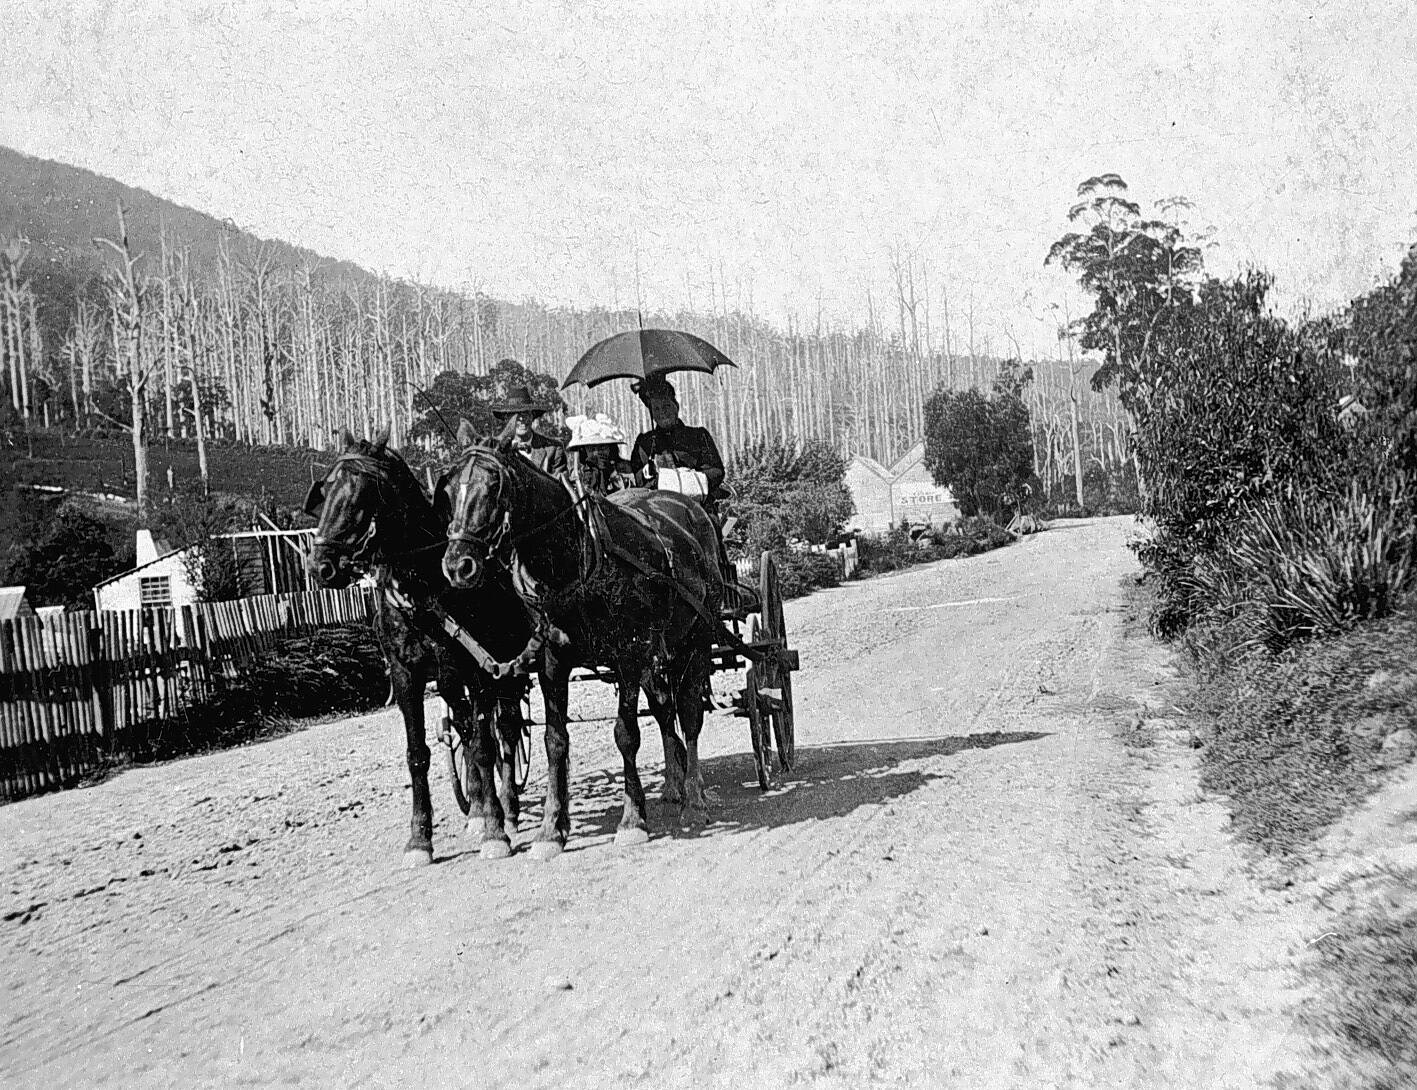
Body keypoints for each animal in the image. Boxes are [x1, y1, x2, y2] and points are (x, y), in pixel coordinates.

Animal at [304, 427, 536, 865]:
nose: (320, 567)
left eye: (363, 491)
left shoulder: (474, 670)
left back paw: (508, 808)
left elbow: (484, 745)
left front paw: (496, 831)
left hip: (504, 669)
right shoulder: (407, 675)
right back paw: (478, 806)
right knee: (471, 730)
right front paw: (420, 838)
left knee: (506, 730)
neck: (423, 585)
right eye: (325, 490)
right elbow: (420, 754)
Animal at [437, 433, 724, 859]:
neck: (574, 559)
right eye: (450, 488)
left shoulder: (628, 654)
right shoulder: (553, 661)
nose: (458, 565)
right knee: (663, 709)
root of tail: (689, 508)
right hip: (660, 651)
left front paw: (632, 820)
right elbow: (554, 741)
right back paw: (674, 785)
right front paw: (550, 830)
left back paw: (693, 797)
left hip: (698, 638)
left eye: (493, 485)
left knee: (688, 713)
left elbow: (626, 734)